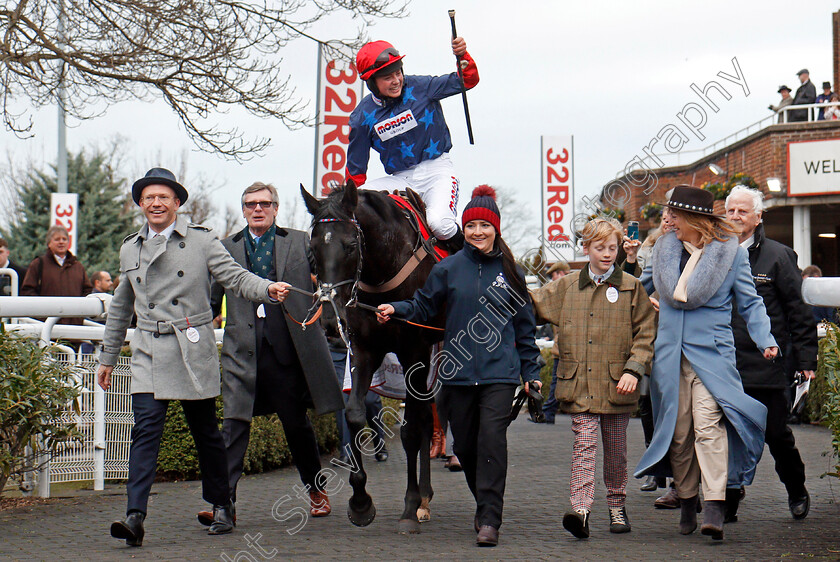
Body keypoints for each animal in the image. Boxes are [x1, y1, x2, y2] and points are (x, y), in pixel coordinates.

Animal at [302, 180, 446, 532]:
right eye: (312, 248)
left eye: (351, 245)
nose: (329, 319)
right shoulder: (365, 351)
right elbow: (355, 414)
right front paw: (360, 501)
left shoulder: (414, 352)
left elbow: (409, 429)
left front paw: (409, 505)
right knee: (426, 414)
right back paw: (425, 498)